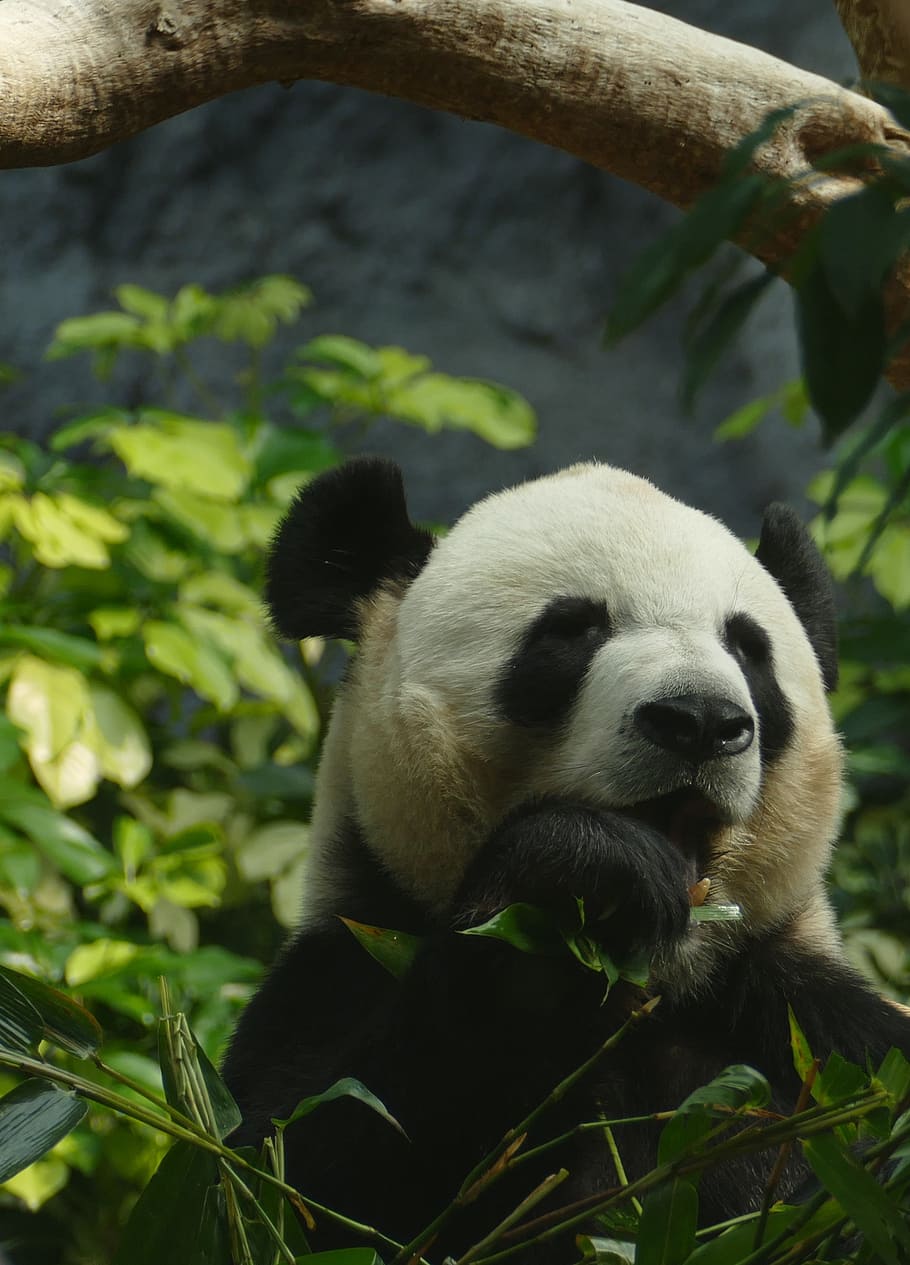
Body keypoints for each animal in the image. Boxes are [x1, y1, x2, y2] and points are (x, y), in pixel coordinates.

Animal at [223, 457, 910, 1257]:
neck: (656, 982)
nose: (701, 720)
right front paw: (580, 875)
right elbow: (306, 1180)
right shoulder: (342, 965)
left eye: (748, 647)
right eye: (572, 629)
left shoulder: (813, 1029)